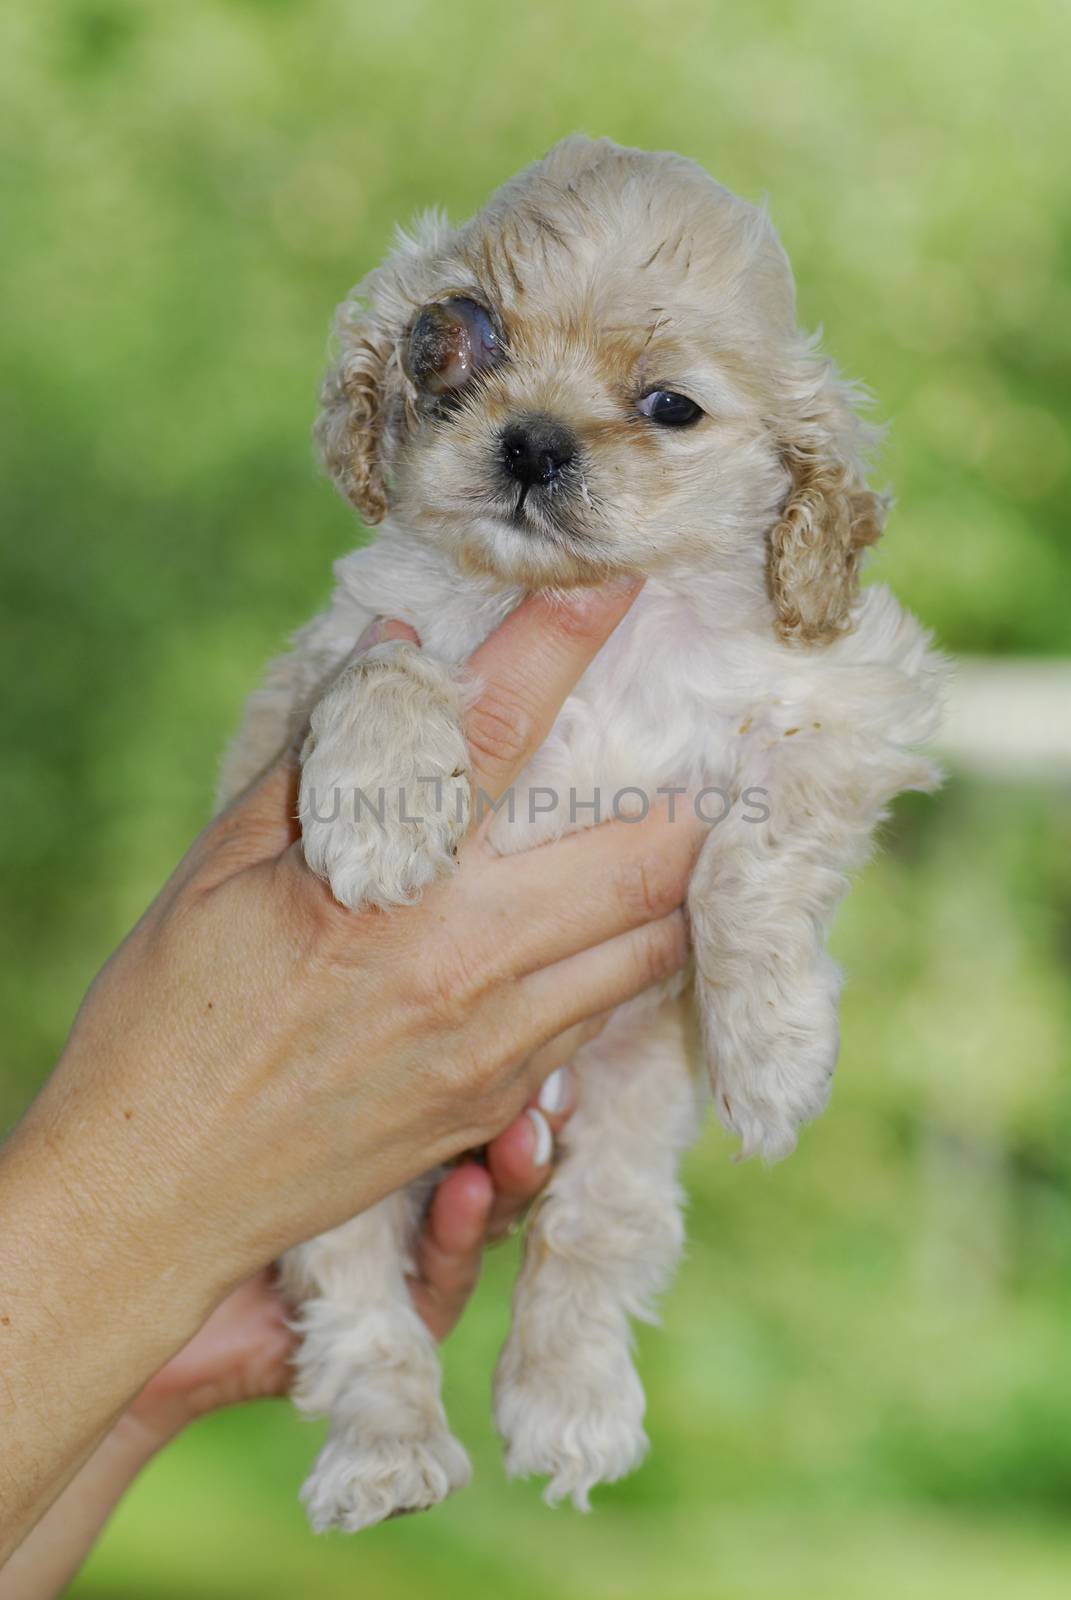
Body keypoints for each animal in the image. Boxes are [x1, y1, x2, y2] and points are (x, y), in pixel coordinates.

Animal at [220, 144, 941, 1529]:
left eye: (669, 405)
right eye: (454, 343)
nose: (533, 441)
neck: (594, 625)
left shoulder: (849, 705)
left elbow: (755, 861)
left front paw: (774, 1057)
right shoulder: (337, 655)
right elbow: (388, 675)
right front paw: (381, 817)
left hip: (625, 1111)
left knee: (590, 1239)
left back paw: (572, 1408)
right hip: (324, 1183)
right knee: (359, 1312)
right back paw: (388, 1454)